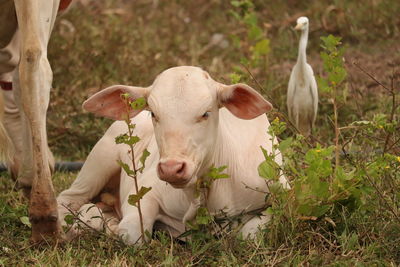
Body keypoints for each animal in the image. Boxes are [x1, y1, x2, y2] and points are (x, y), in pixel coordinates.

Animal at [57, 66, 288, 245]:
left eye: (206, 113)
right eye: (153, 113)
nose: (171, 169)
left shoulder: (281, 194)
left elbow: (250, 235)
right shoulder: (143, 192)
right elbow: (132, 235)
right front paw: (110, 228)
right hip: (99, 160)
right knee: (68, 198)